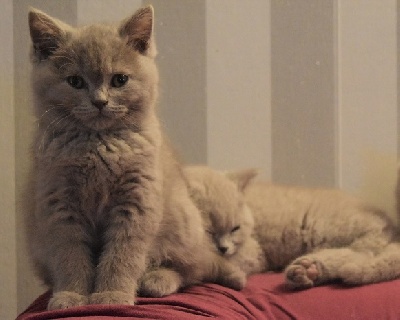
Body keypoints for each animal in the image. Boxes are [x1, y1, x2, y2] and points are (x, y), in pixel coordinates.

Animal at [26, 5, 245, 310]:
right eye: (75, 81)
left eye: (120, 80)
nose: (100, 101)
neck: (99, 143)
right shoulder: (60, 207)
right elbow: (70, 256)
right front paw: (71, 295)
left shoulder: (136, 203)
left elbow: (122, 255)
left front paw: (112, 295)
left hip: (184, 221)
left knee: (193, 269)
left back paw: (156, 280)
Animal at [185, 166, 400, 288]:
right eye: (209, 231)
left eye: (235, 228)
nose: (223, 248)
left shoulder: (253, 252)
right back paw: (308, 270)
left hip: (324, 228)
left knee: (362, 252)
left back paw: (308, 268)